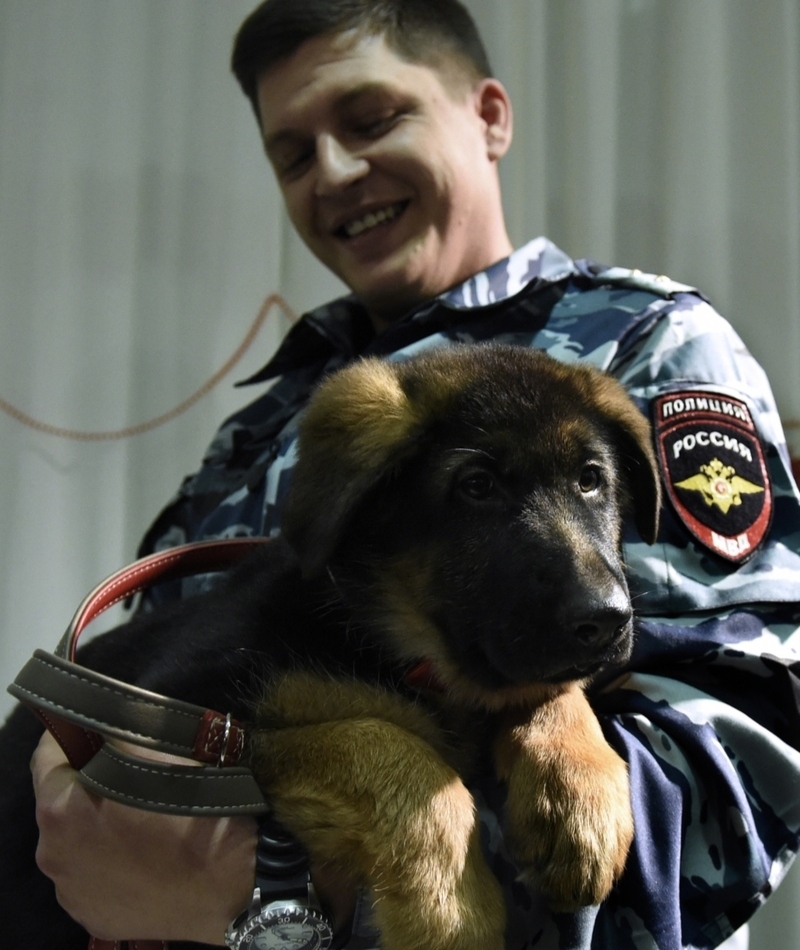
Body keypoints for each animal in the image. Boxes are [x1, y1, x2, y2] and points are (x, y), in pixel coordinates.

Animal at [0, 344, 660, 950]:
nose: (606, 619)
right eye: (477, 486)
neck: (391, 644)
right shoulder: (191, 726)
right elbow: (379, 742)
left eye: (591, 480)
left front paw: (577, 792)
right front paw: (450, 913)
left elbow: (549, 688)